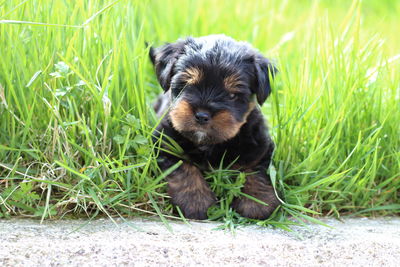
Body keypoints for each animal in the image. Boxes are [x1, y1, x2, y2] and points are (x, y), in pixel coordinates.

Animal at [149, 34, 278, 221]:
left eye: (232, 95)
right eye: (187, 85)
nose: (202, 115)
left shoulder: (260, 147)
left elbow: (256, 170)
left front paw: (257, 202)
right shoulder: (164, 142)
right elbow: (183, 167)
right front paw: (196, 201)